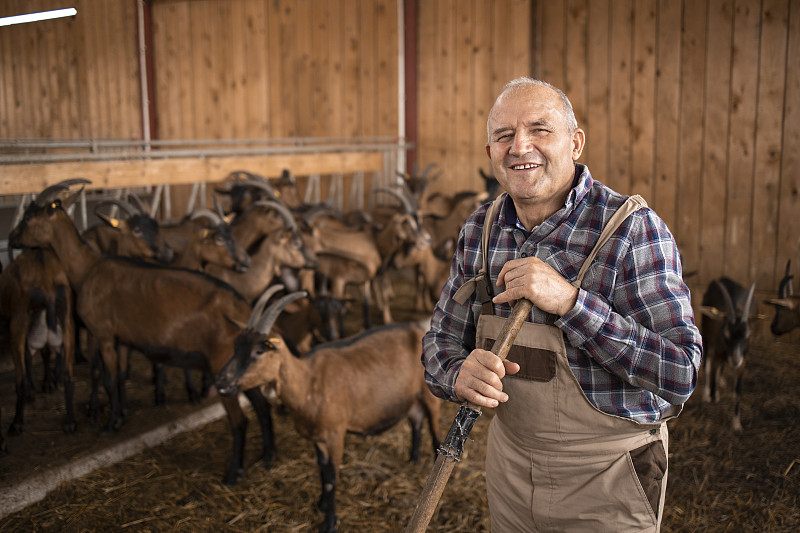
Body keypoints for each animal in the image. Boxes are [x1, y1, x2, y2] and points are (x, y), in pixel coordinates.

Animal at [216, 290, 440, 532]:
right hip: (411, 399)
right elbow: (322, 469)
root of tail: (416, 328)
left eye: (259, 350)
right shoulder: (318, 437)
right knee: (416, 421)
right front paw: (321, 505)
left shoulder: (335, 434)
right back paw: (413, 459)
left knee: (434, 426)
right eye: (236, 347)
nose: (221, 382)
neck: (308, 382)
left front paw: (329, 522)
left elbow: (332, 477)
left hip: (429, 396)